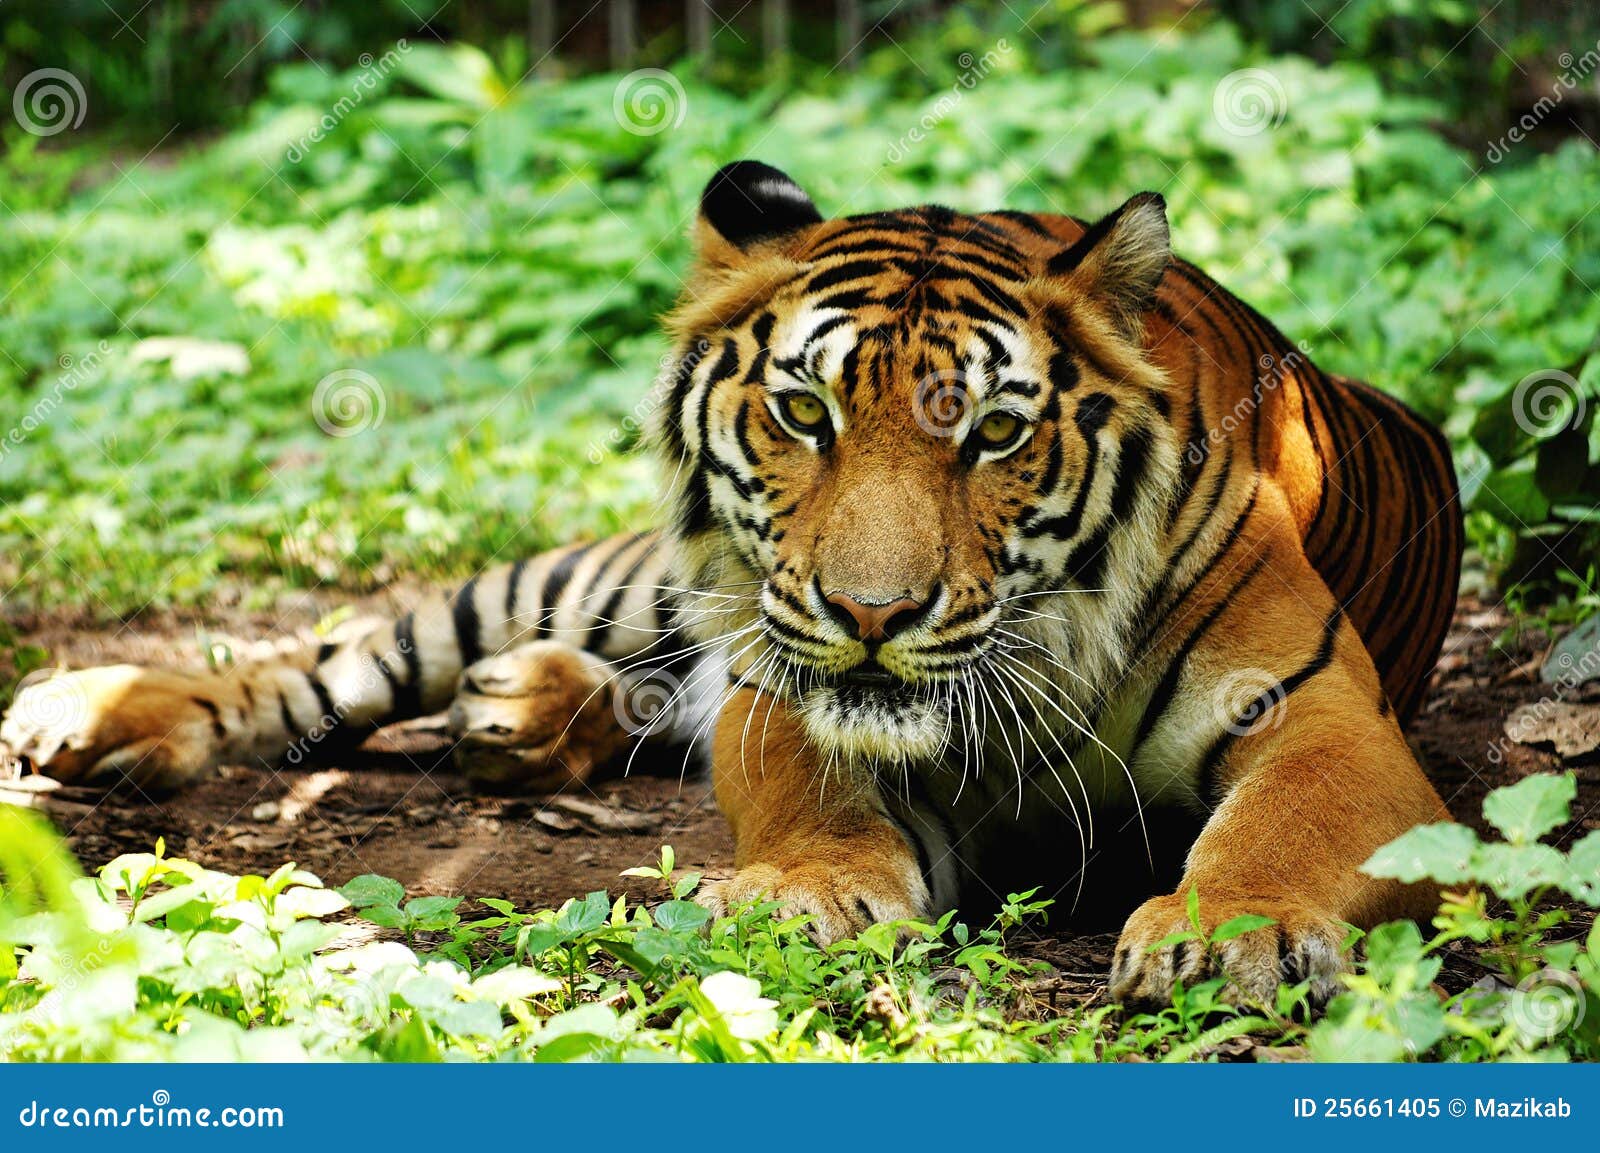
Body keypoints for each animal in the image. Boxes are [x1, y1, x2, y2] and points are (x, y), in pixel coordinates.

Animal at [1, 160, 1462, 1006]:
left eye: (994, 432)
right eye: (806, 410)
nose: (875, 616)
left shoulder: (1324, 717)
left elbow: (1284, 828)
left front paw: (1233, 934)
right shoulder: (780, 676)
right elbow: (800, 785)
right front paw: (803, 894)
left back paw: (518, 713)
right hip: (599, 580)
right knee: (334, 655)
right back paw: (95, 713)